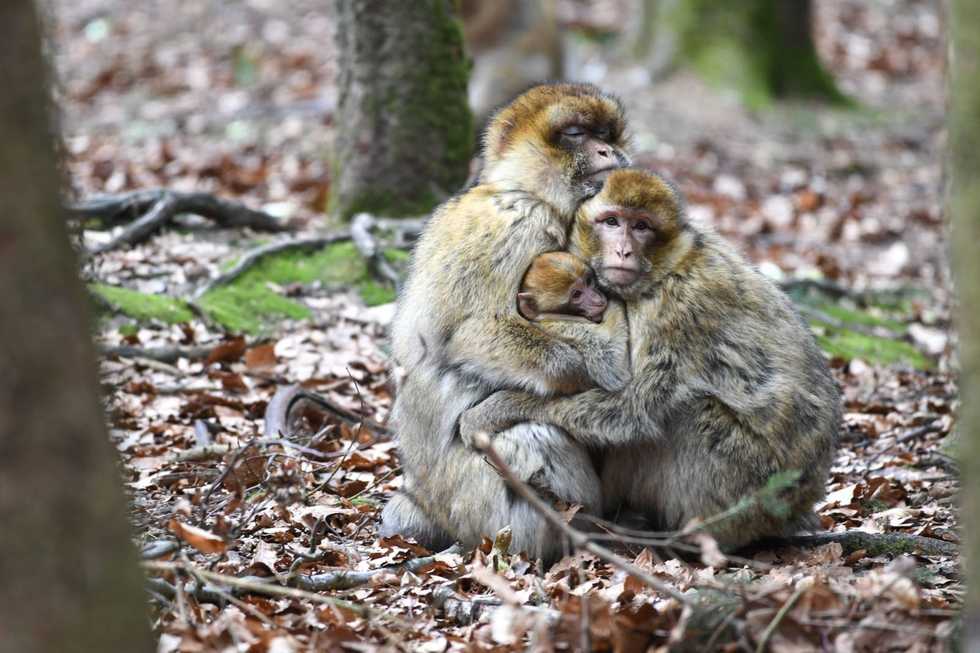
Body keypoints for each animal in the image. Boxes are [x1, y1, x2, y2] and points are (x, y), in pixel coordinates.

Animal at [379, 83, 632, 563]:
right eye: (577, 134)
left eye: (606, 134)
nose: (609, 150)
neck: (525, 189)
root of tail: (427, 503)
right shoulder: (517, 222)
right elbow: (470, 333)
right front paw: (577, 373)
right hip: (476, 507)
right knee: (535, 437)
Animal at [459, 168, 840, 550]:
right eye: (612, 222)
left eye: (642, 226)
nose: (623, 250)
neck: (666, 270)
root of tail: (799, 506)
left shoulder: (678, 311)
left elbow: (633, 407)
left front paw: (495, 409)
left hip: (749, 492)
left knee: (686, 414)